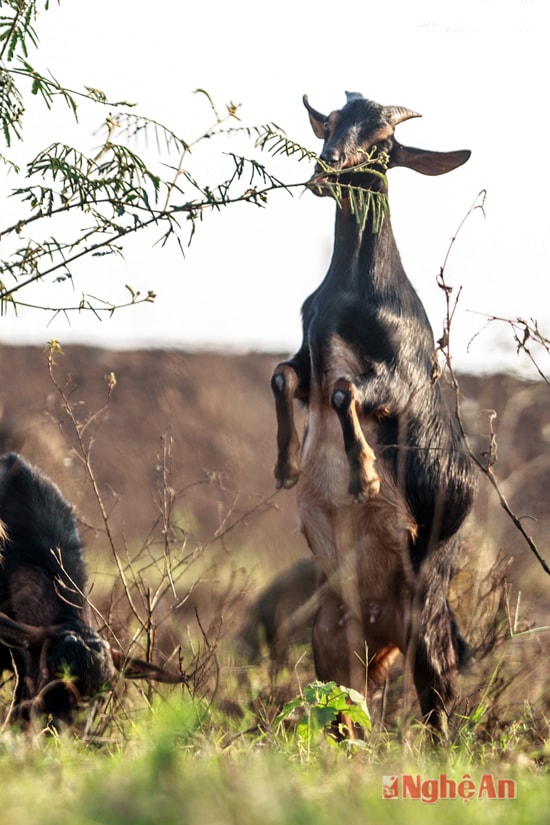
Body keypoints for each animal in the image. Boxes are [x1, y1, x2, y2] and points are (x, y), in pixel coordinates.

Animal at [272, 91, 478, 732]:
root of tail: (381, 632)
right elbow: (284, 375)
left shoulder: (401, 376)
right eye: (333, 124)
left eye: (384, 141)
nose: (328, 167)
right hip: (333, 639)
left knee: (441, 710)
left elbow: (346, 393)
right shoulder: (307, 355)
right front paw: (286, 466)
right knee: (349, 708)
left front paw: (363, 477)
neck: (353, 293)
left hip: (428, 629)